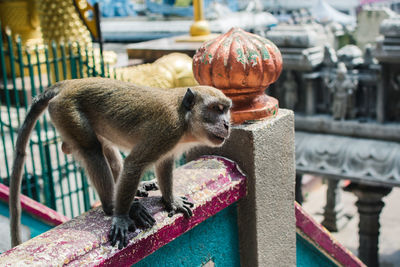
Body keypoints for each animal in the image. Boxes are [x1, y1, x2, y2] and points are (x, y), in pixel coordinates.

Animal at [8, 77, 231, 249]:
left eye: (226, 110)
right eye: (215, 109)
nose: (228, 124)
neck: (185, 119)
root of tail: (69, 83)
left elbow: (164, 164)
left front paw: (171, 200)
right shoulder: (168, 129)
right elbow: (134, 163)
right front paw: (122, 217)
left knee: (104, 145)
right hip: (67, 110)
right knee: (92, 150)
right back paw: (113, 206)